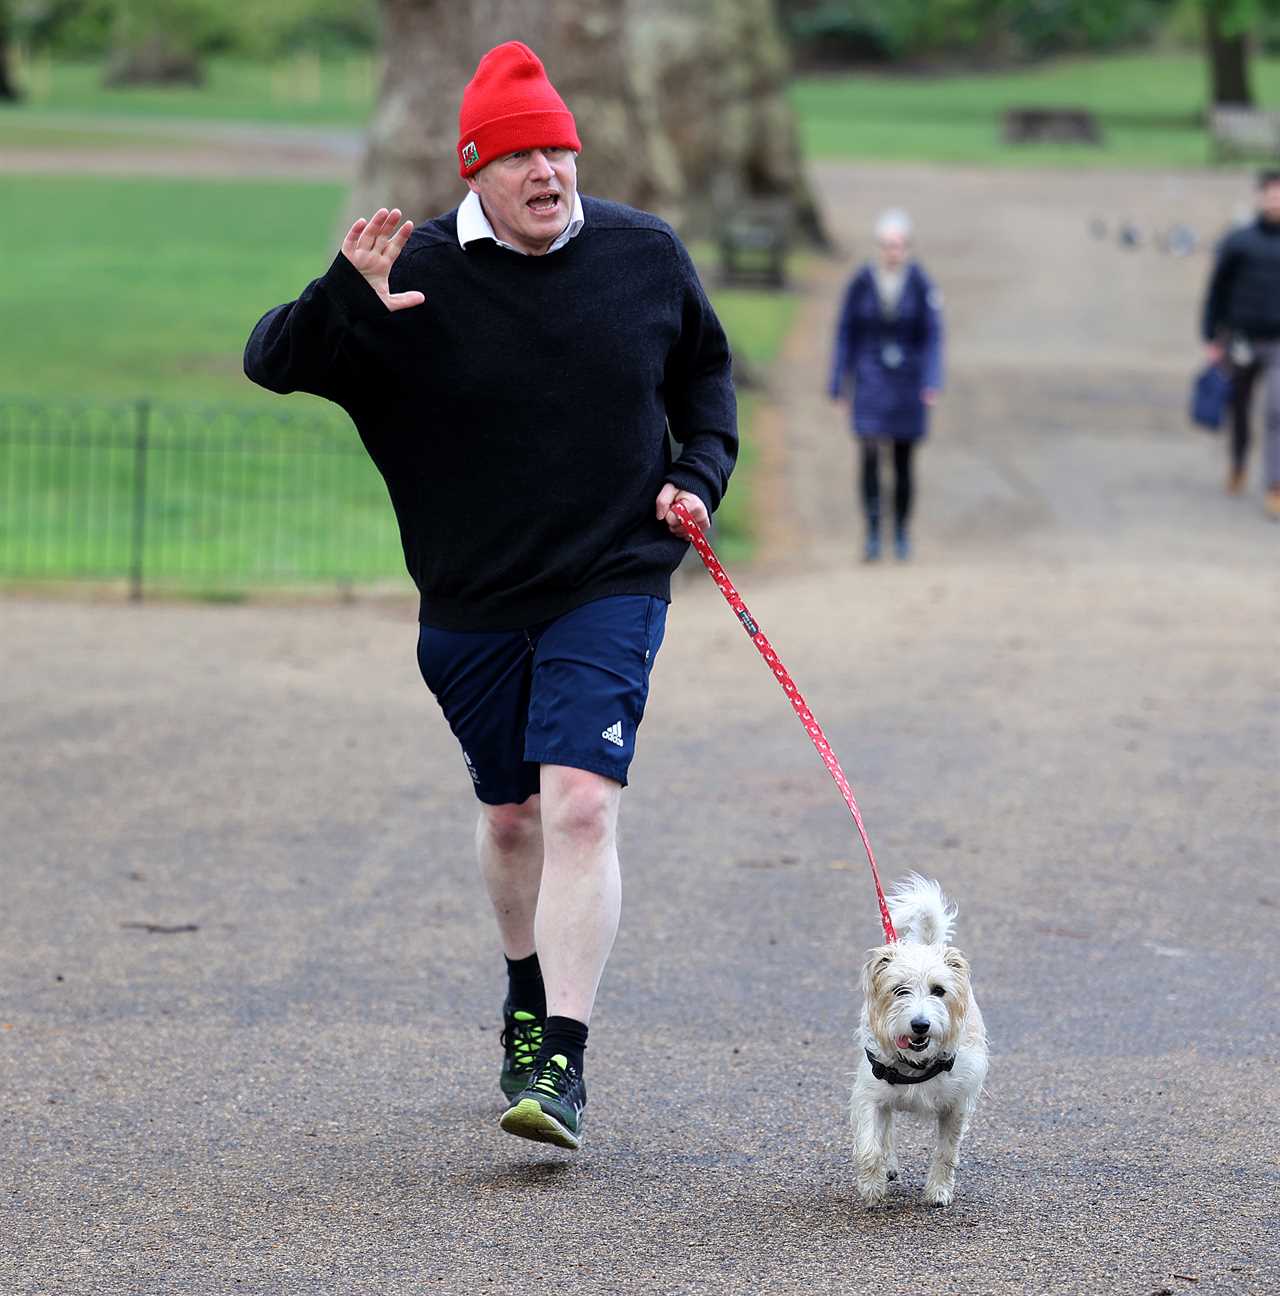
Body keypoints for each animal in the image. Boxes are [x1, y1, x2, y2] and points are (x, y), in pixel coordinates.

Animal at [849, 870, 989, 1202]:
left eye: (939, 990)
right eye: (899, 990)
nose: (920, 1025)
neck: (915, 1063)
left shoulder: (956, 1107)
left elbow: (946, 1153)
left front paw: (938, 1191)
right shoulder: (869, 1096)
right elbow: (870, 1147)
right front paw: (871, 1187)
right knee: (886, 1131)